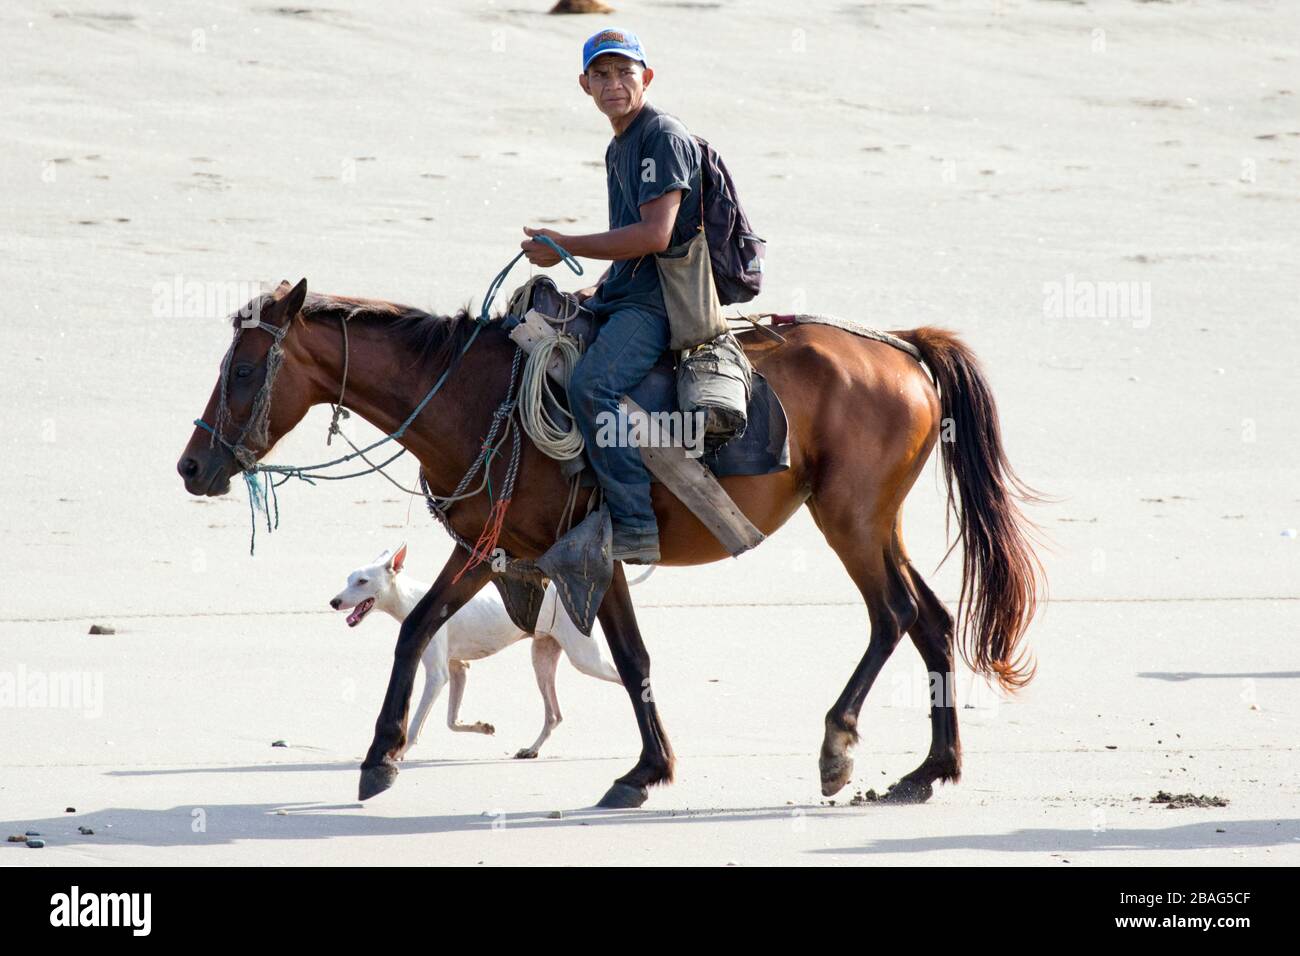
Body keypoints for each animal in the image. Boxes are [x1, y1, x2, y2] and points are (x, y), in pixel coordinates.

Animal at [332, 546, 621, 764]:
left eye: (362, 581)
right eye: (348, 579)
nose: (333, 602)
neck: (412, 600)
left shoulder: (437, 675)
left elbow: (414, 727)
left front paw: (397, 753)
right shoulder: (458, 669)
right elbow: (452, 721)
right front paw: (482, 727)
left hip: (586, 659)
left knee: (624, 678)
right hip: (542, 657)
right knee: (554, 715)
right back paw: (531, 749)